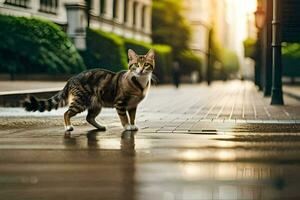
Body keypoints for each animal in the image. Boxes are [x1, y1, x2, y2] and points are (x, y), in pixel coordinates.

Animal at [22, 49, 155, 132]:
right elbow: (124, 117)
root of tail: (71, 79)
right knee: (67, 113)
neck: (139, 83)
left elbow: (132, 117)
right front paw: (127, 126)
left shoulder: (133, 105)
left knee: (89, 118)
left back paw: (100, 127)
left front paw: (132, 125)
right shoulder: (120, 103)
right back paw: (68, 127)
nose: (141, 70)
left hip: (96, 105)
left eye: (146, 64)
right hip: (80, 101)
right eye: (136, 65)